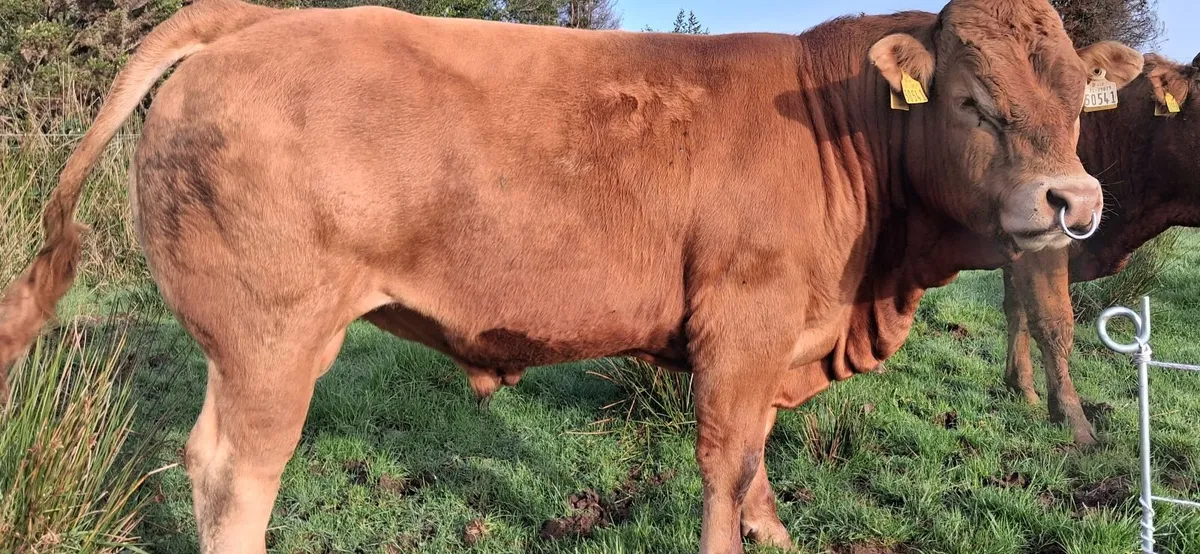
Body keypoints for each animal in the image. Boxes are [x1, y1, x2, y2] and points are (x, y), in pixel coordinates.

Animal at [0, 0, 1143, 552]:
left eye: (1076, 99)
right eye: (974, 101)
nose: (1071, 200)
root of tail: (255, 19)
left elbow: (759, 458)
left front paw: (777, 530)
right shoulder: (743, 322)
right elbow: (726, 460)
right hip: (270, 335)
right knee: (234, 471)